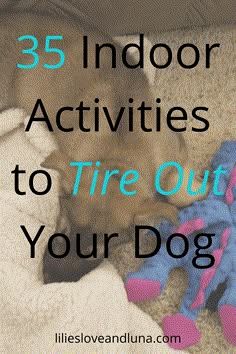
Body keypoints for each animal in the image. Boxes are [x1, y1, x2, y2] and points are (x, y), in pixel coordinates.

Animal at [0, 12, 202, 280]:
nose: (51, 280)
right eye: (64, 228)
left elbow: (177, 191)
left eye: (97, 249)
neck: (119, 160)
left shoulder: (173, 145)